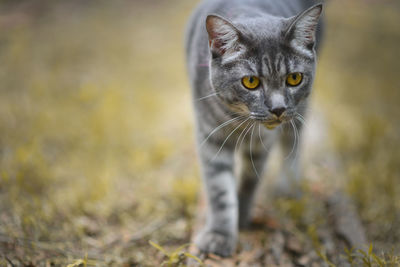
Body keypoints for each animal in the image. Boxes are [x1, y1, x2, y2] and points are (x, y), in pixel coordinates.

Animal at [186, 0, 324, 258]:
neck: (240, 121)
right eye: (251, 82)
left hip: (300, 110)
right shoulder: (211, 137)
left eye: (294, 78)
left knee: (293, 142)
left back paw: (289, 185)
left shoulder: (262, 144)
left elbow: (250, 180)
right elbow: (220, 190)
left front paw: (242, 216)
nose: (278, 108)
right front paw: (220, 235)